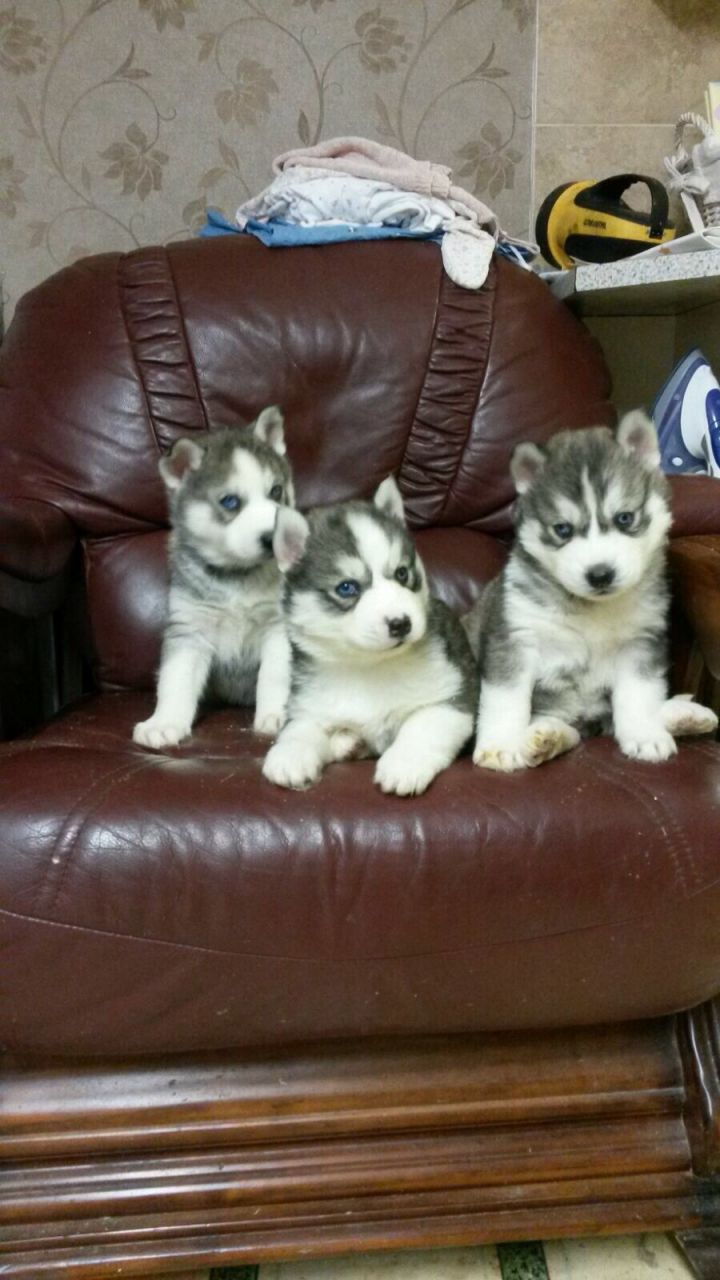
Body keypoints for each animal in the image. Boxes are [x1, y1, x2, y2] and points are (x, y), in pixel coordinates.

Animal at [133, 407, 293, 747]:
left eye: (276, 491)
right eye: (230, 501)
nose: (273, 538)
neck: (238, 578)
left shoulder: (278, 628)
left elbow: (274, 676)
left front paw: (276, 715)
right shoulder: (189, 629)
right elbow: (175, 680)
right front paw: (163, 722)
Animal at [258, 476, 476, 793]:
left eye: (402, 573)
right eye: (347, 587)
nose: (401, 623)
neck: (369, 665)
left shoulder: (452, 697)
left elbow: (421, 728)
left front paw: (403, 764)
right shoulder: (309, 705)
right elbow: (298, 729)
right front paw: (289, 755)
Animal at [461, 412, 712, 768]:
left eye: (625, 518)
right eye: (562, 529)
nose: (600, 574)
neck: (590, 609)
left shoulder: (640, 643)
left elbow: (638, 695)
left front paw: (645, 734)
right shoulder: (514, 640)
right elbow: (506, 700)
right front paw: (500, 745)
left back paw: (681, 714)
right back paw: (545, 736)